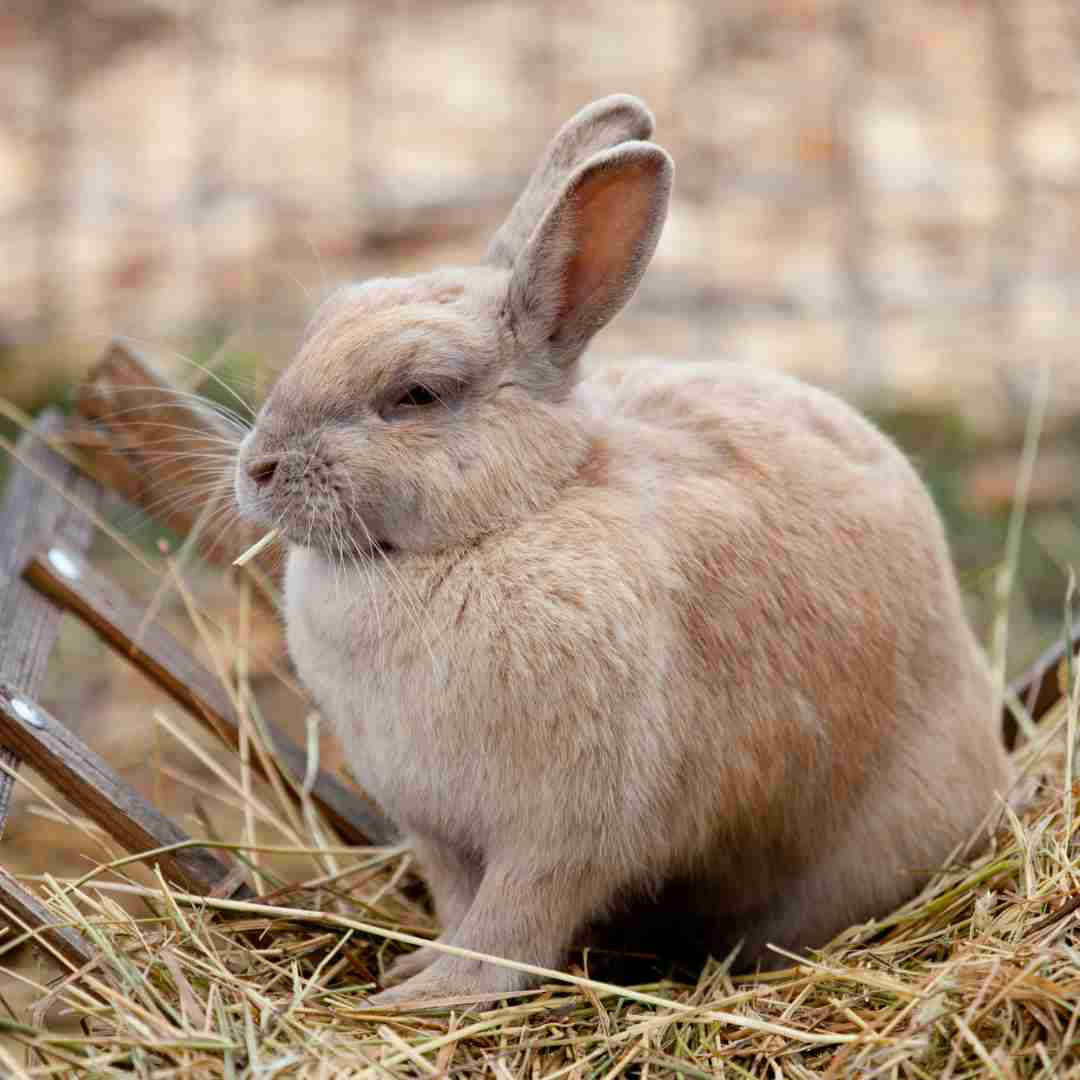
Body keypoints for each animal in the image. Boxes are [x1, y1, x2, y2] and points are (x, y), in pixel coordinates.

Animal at [234, 92, 1010, 1002]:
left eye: (416, 394)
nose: (256, 467)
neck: (508, 517)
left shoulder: (561, 832)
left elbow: (510, 926)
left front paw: (437, 993)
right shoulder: (438, 831)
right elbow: (460, 904)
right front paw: (416, 966)